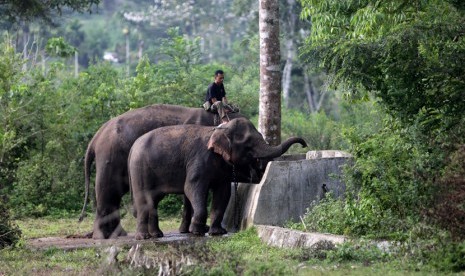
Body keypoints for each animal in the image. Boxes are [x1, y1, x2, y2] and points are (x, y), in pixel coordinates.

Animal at [80, 103, 246, 239]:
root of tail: (96, 137)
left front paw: (186, 231)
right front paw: (197, 230)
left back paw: (118, 234)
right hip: (110, 157)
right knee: (110, 190)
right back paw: (104, 236)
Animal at [128, 117, 308, 239]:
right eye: (248, 144)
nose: (304, 144)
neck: (218, 129)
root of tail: (132, 148)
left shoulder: (222, 168)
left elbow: (223, 193)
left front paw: (217, 232)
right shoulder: (199, 159)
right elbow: (192, 188)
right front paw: (197, 231)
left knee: (153, 201)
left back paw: (157, 235)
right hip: (140, 169)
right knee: (144, 200)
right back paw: (144, 237)